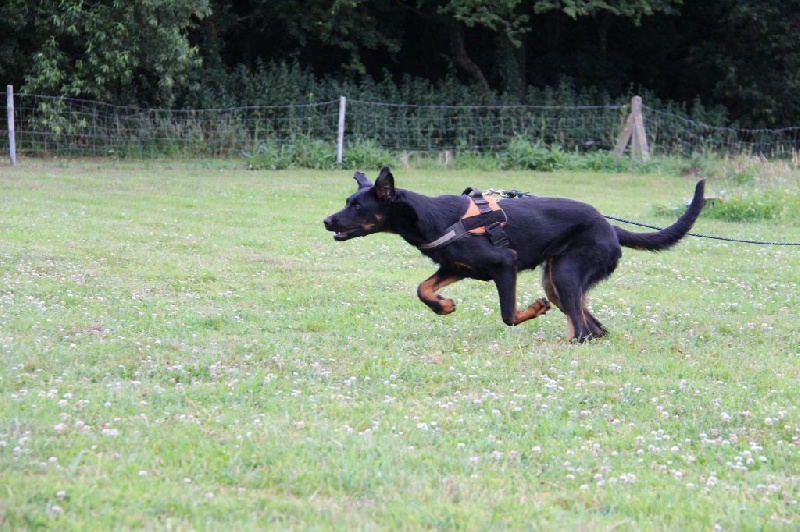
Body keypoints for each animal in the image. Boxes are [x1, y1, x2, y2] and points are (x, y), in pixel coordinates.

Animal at [322, 165, 704, 340]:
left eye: (357, 206)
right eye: (347, 201)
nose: (326, 220)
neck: (429, 217)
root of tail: (610, 227)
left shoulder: (505, 265)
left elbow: (508, 315)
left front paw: (531, 311)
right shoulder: (455, 267)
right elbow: (423, 288)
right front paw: (443, 306)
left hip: (565, 274)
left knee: (582, 330)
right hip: (558, 280)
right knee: (593, 328)